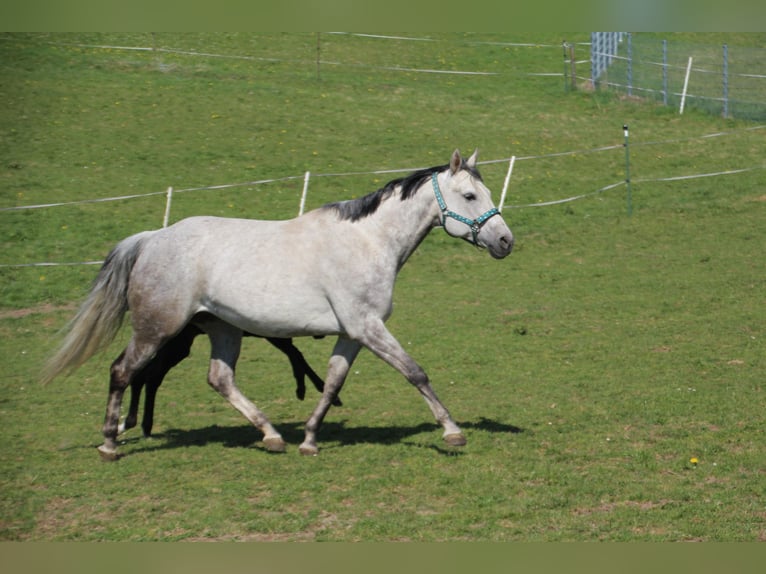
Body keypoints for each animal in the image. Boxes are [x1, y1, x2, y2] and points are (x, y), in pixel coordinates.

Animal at [117, 323, 339, 438]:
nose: (321, 334)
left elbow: (295, 355)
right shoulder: (272, 335)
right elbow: (296, 355)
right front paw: (312, 388)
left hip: (178, 346)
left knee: (149, 377)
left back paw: (141, 425)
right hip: (175, 345)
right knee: (146, 376)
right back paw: (135, 424)